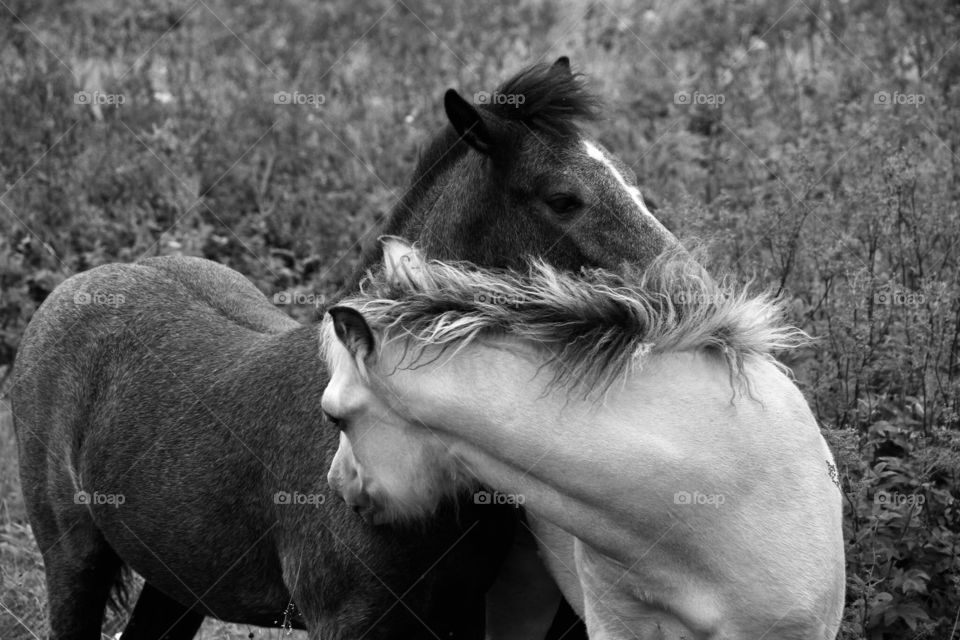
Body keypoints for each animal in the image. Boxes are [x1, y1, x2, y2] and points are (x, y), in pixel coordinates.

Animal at [11, 58, 676, 639]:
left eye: (635, 187)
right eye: (562, 197)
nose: (685, 285)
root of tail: (82, 284)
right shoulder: (347, 620)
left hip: (176, 580)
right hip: (73, 560)